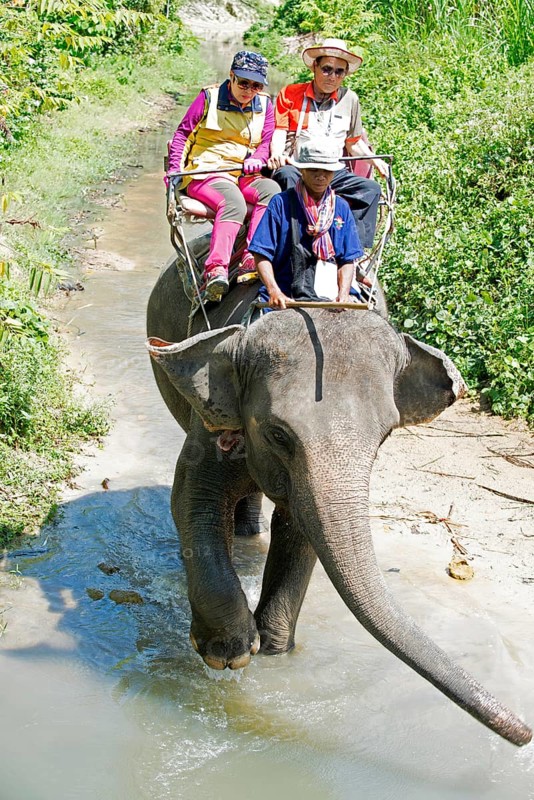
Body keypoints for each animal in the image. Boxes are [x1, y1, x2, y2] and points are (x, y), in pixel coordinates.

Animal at [146, 258, 532, 747]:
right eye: (278, 434)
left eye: (384, 436)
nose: (525, 735)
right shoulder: (211, 425)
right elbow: (191, 499)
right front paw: (229, 652)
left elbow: (301, 528)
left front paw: (275, 650)